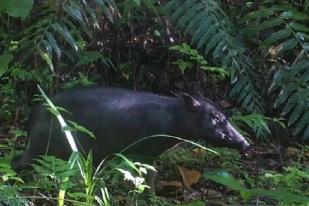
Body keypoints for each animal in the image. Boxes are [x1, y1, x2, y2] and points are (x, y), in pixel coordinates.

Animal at [11, 87, 250, 171]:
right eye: (216, 117)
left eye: (224, 114)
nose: (246, 144)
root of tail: (35, 113)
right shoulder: (146, 151)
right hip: (42, 148)